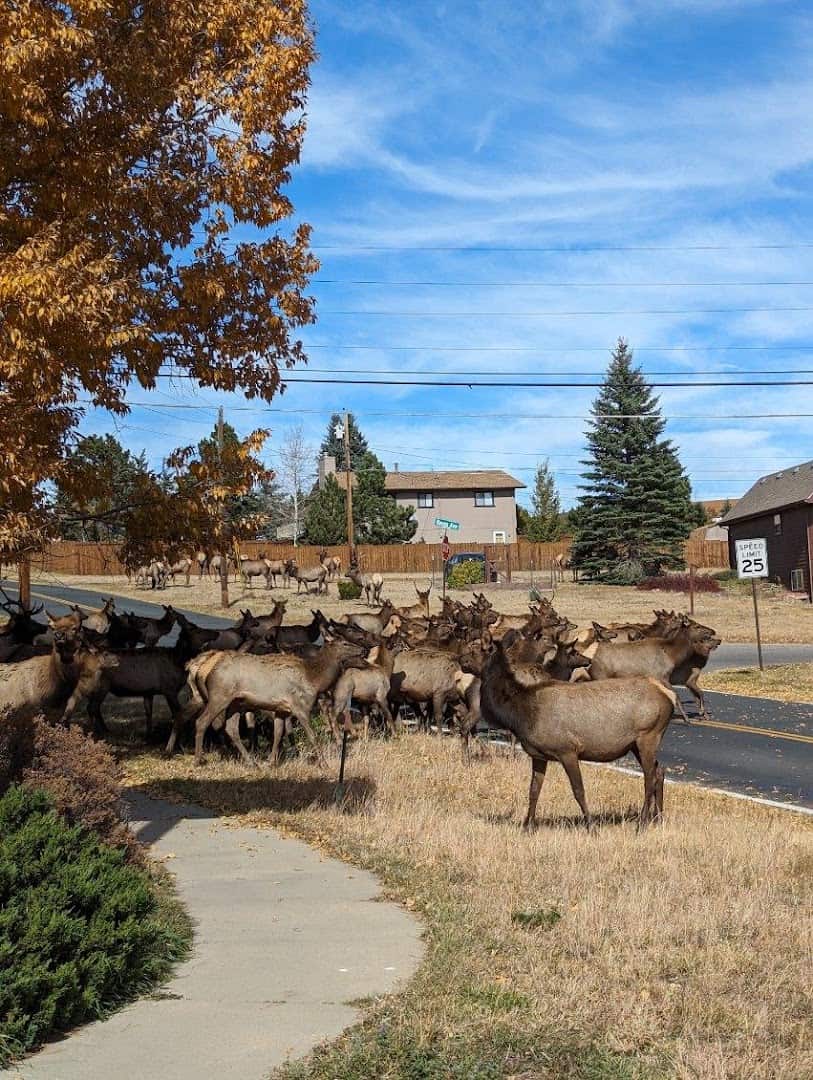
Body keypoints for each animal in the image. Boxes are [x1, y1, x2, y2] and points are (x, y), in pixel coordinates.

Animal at [479, 629, 677, 829]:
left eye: (489, 652)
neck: (521, 715)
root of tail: (669, 695)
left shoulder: (568, 750)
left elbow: (578, 790)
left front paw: (591, 826)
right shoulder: (539, 755)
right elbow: (533, 790)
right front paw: (527, 827)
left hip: (649, 735)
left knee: (649, 777)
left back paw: (642, 823)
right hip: (636, 743)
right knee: (659, 771)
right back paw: (658, 819)